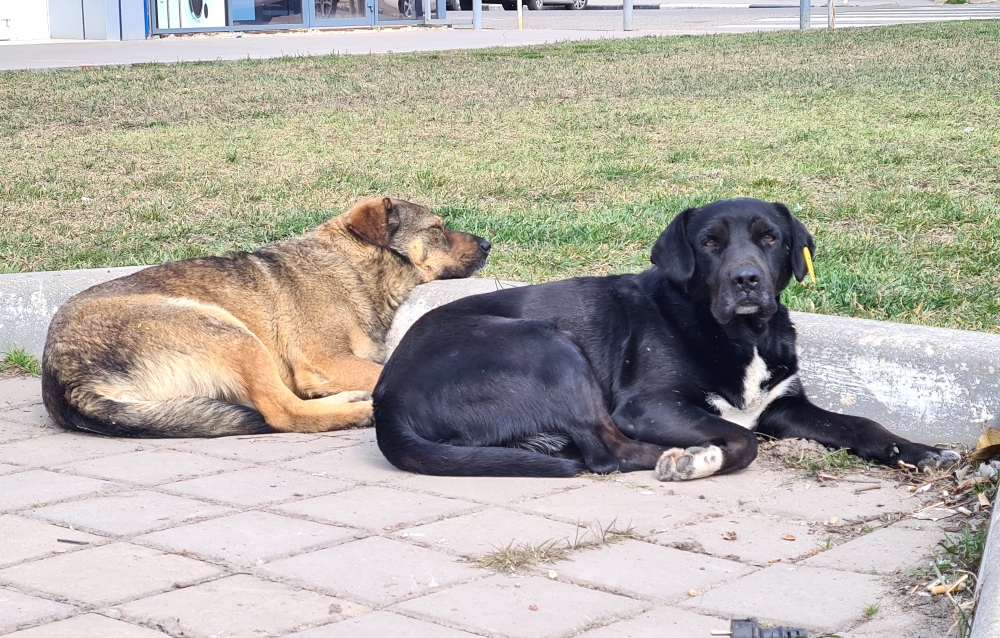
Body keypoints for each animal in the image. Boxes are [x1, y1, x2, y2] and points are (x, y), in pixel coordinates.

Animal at [41, 199, 490, 440]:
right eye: (437, 228)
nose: (488, 243)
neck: (353, 267)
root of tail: (64, 379)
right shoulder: (324, 362)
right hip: (228, 331)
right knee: (282, 411)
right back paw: (357, 410)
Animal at [374, 200, 960, 480]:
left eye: (770, 237)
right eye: (710, 243)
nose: (747, 280)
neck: (740, 334)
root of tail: (387, 398)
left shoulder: (784, 406)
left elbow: (861, 423)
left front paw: (919, 451)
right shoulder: (651, 405)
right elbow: (741, 438)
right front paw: (701, 457)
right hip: (550, 348)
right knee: (606, 453)